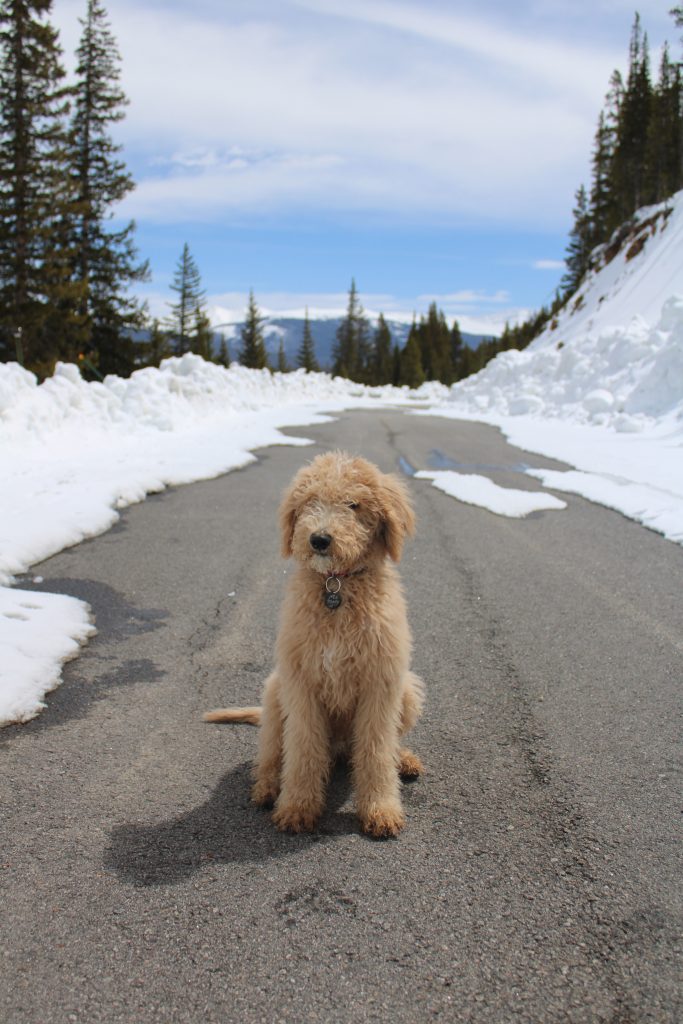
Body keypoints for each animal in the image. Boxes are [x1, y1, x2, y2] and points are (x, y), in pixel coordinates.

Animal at [205, 452, 423, 835]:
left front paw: (381, 809)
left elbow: (377, 750)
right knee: (270, 754)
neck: (335, 587)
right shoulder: (301, 681)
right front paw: (297, 807)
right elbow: (303, 748)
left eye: (353, 504)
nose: (319, 539)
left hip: (407, 689)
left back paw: (404, 759)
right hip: (274, 691)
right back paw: (267, 788)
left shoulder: (381, 682)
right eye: (309, 501)